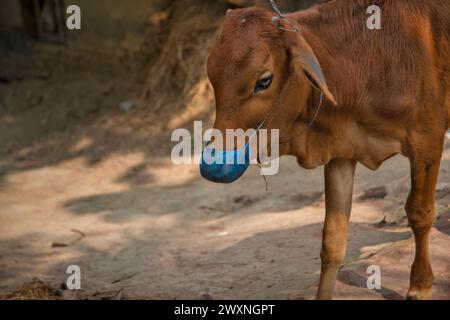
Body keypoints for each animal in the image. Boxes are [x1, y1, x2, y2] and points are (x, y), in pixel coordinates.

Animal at [200, 0, 450, 300]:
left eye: (264, 81)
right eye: (213, 77)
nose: (213, 165)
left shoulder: (427, 139)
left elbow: (420, 213)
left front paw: (420, 286)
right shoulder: (341, 153)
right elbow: (332, 240)